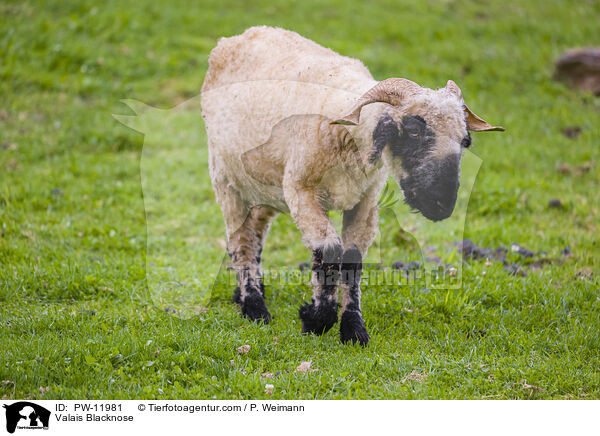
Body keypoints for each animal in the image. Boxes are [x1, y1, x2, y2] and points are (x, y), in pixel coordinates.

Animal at [200, 26, 502, 348]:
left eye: (465, 140)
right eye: (413, 130)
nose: (441, 204)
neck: (348, 134)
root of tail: (239, 36)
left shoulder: (365, 200)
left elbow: (352, 261)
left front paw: (353, 328)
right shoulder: (300, 191)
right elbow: (330, 251)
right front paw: (316, 319)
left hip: (264, 184)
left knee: (255, 231)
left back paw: (247, 294)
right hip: (225, 178)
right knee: (241, 240)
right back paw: (254, 306)